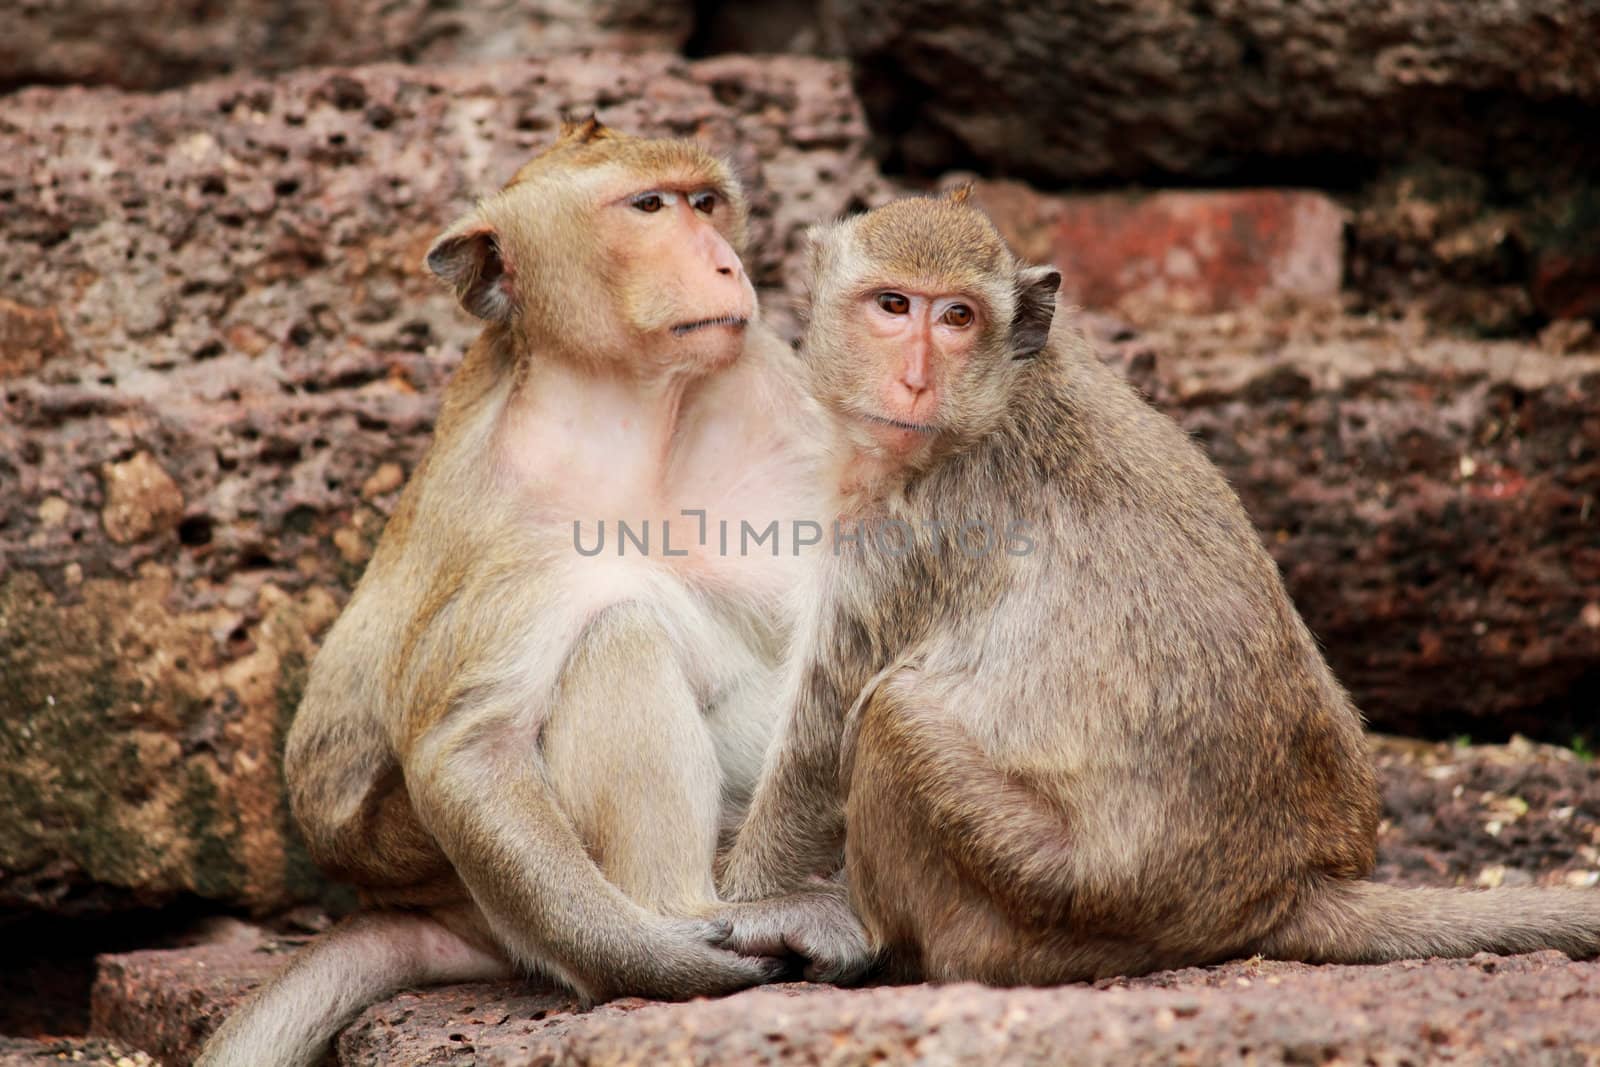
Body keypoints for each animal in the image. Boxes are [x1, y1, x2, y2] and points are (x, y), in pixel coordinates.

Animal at [203, 120, 876, 1067]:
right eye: (650, 206)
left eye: (706, 203)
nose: (725, 264)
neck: (631, 410)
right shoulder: (507, 521)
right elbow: (468, 747)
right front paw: (657, 959)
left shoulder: (772, 389)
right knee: (619, 633)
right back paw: (695, 914)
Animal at [713, 189, 1600, 985]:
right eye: (894, 305)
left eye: (958, 318)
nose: (915, 379)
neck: (994, 402)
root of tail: (1283, 886)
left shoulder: (909, 536)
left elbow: (820, 736)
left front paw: (748, 898)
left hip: (1054, 898)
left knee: (895, 719)